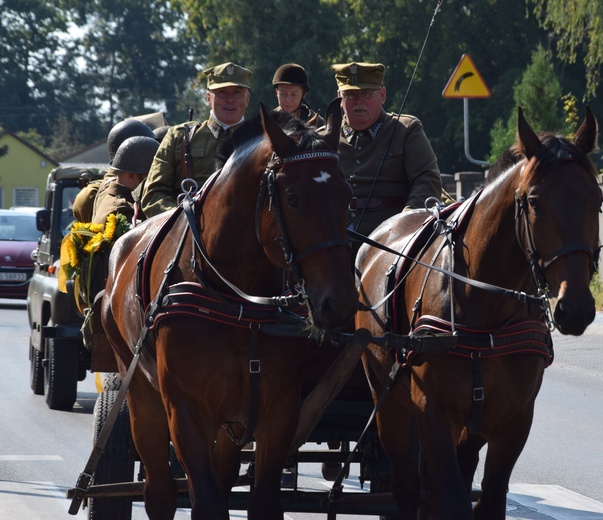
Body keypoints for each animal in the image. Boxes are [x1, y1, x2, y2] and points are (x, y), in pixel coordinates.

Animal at [99, 102, 358, 520]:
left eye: (348, 196)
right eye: (294, 197)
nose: (341, 302)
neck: (238, 300)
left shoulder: (279, 413)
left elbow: (262, 501)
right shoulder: (186, 412)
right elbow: (205, 502)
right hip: (138, 391)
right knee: (159, 491)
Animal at [356, 107, 600, 516]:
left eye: (596, 198)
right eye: (534, 201)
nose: (576, 307)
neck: (486, 307)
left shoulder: (514, 420)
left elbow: (489, 498)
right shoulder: (432, 413)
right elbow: (452, 499)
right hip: (389, 404)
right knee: (407, 486)